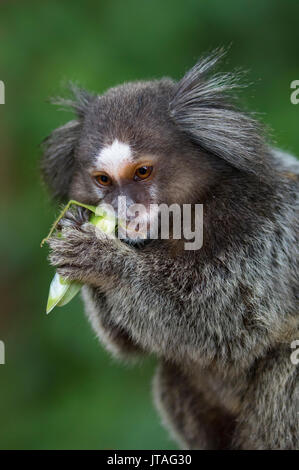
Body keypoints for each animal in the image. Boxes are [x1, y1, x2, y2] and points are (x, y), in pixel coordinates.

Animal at [41, 49, 298, 450]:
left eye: (143, 172)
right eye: (103, 180)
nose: (124, 209)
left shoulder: (263, 227)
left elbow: (225, 324)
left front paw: (103, 261)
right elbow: (130, 343)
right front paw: (76, 226)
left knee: (289, 358)